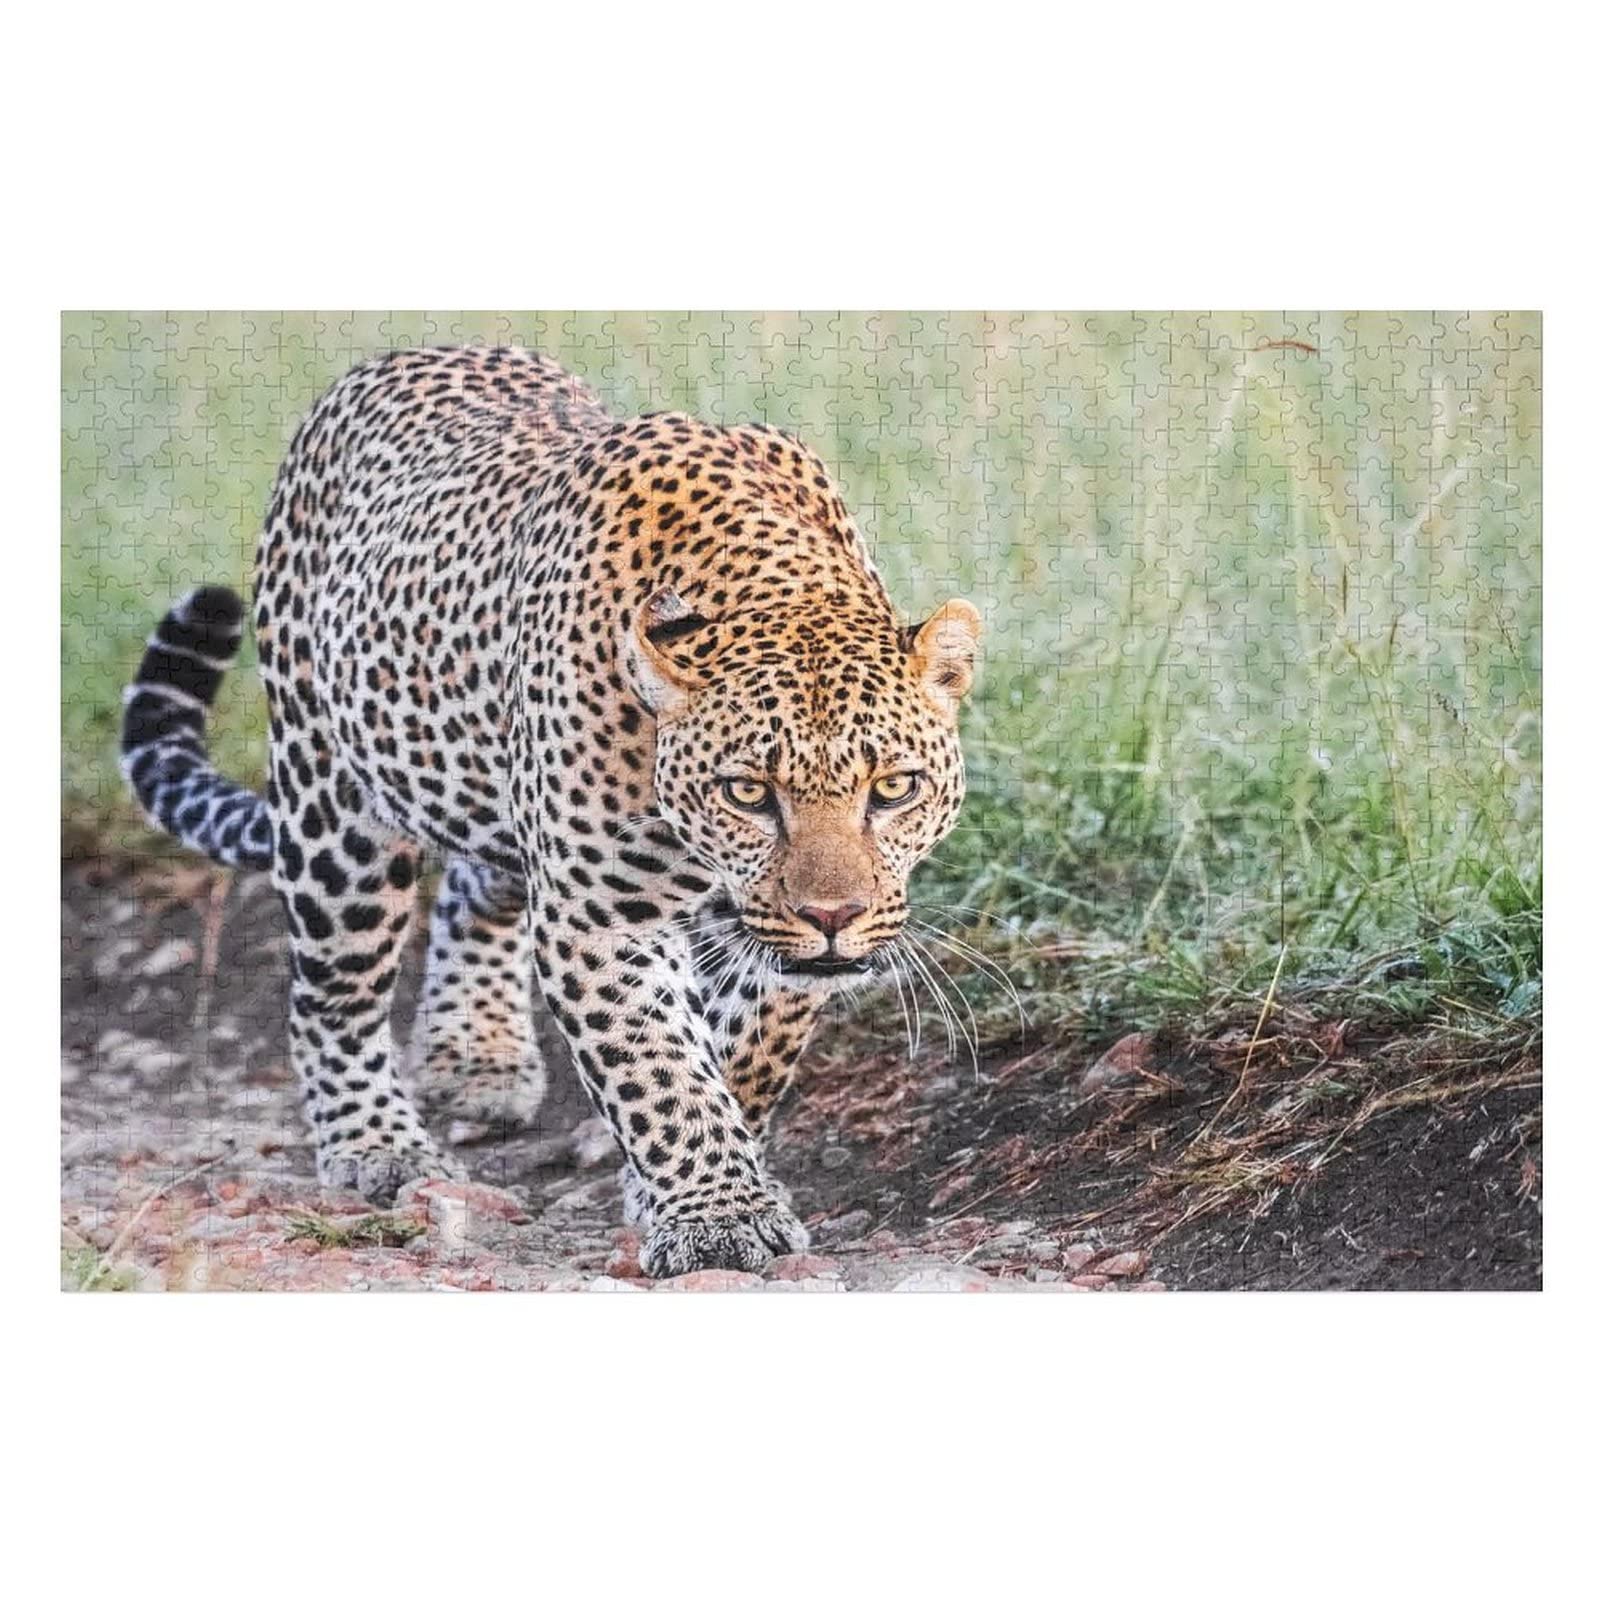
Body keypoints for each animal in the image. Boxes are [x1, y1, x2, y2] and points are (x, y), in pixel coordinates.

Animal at [120, 345, 982, 1277]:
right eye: (749, 792)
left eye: (892, 788)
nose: (833, 916)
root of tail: (405, 353)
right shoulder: (600, 917)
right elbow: (661, 1072)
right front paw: (718, 1217)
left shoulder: (759, 946)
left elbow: (747, 1051)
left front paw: (669, 1187)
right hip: (333, 809)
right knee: (332, 998)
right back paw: (378, 1144)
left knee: (474, 886)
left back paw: (476, 1058)